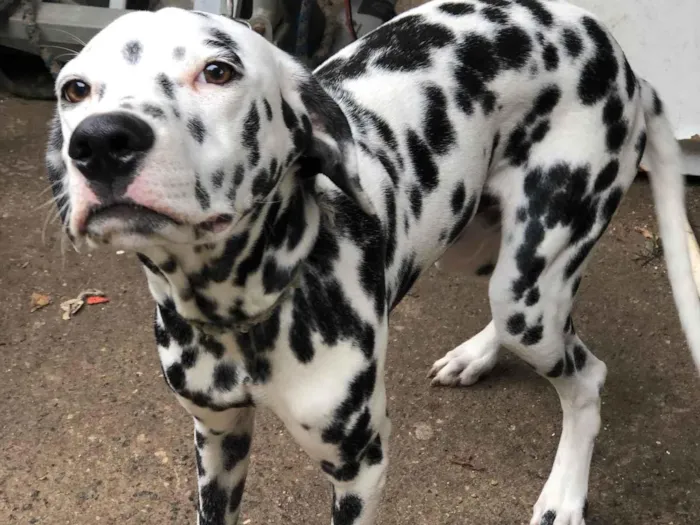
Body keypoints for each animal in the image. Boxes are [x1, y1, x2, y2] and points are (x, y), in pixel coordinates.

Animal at [47, 1, 700, 524]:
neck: (243, 310)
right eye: (74, 89)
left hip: (533, 280)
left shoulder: (360, 467)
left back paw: (564, 496)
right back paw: (477, 355)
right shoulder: (216, 439)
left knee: (586, 377)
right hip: (482, 249)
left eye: (218, 70)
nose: (100, 142)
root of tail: (618, 55)